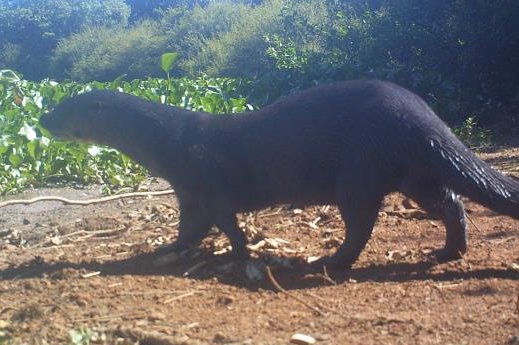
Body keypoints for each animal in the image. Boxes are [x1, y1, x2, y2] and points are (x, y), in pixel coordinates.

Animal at [40, 80, 519, 268]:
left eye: (63, 109)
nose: (42, 119)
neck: (168, 141)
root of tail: (425, 114)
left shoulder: (204, 178)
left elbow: (222, 222)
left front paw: (239, 253)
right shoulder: (187, 191)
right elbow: (190, 228)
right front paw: (170, 249)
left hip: (359, 170)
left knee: (361, 222)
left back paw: (330, 261)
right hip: (415, 173)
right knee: (450, 201)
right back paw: (449, 252)